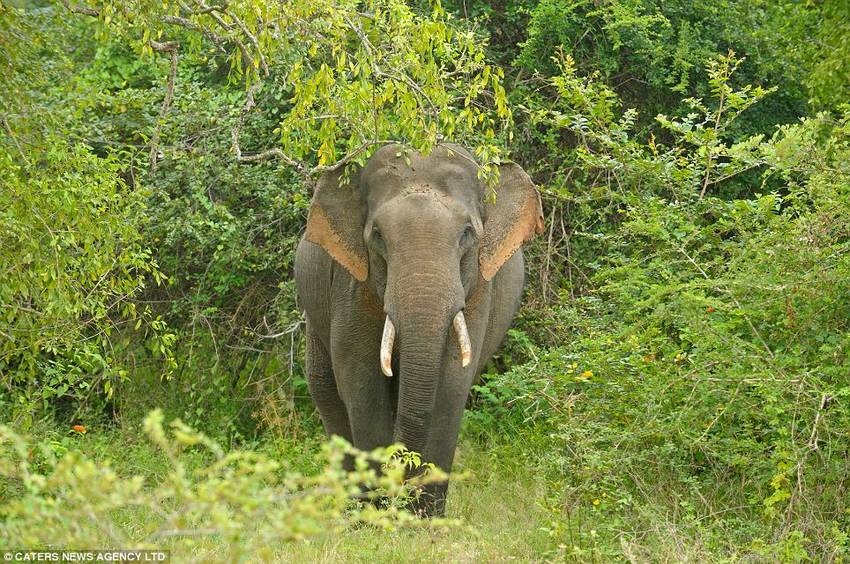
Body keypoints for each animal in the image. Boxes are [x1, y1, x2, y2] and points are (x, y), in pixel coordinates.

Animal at [294, 142, 540, 516]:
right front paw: (377, 516)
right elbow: (361, 383)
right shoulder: (351, 286)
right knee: (325, 388)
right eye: (377, 236)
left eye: (467, 233)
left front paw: (424, 518)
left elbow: (451, 385)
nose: (401, 480)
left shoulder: (478, 291)